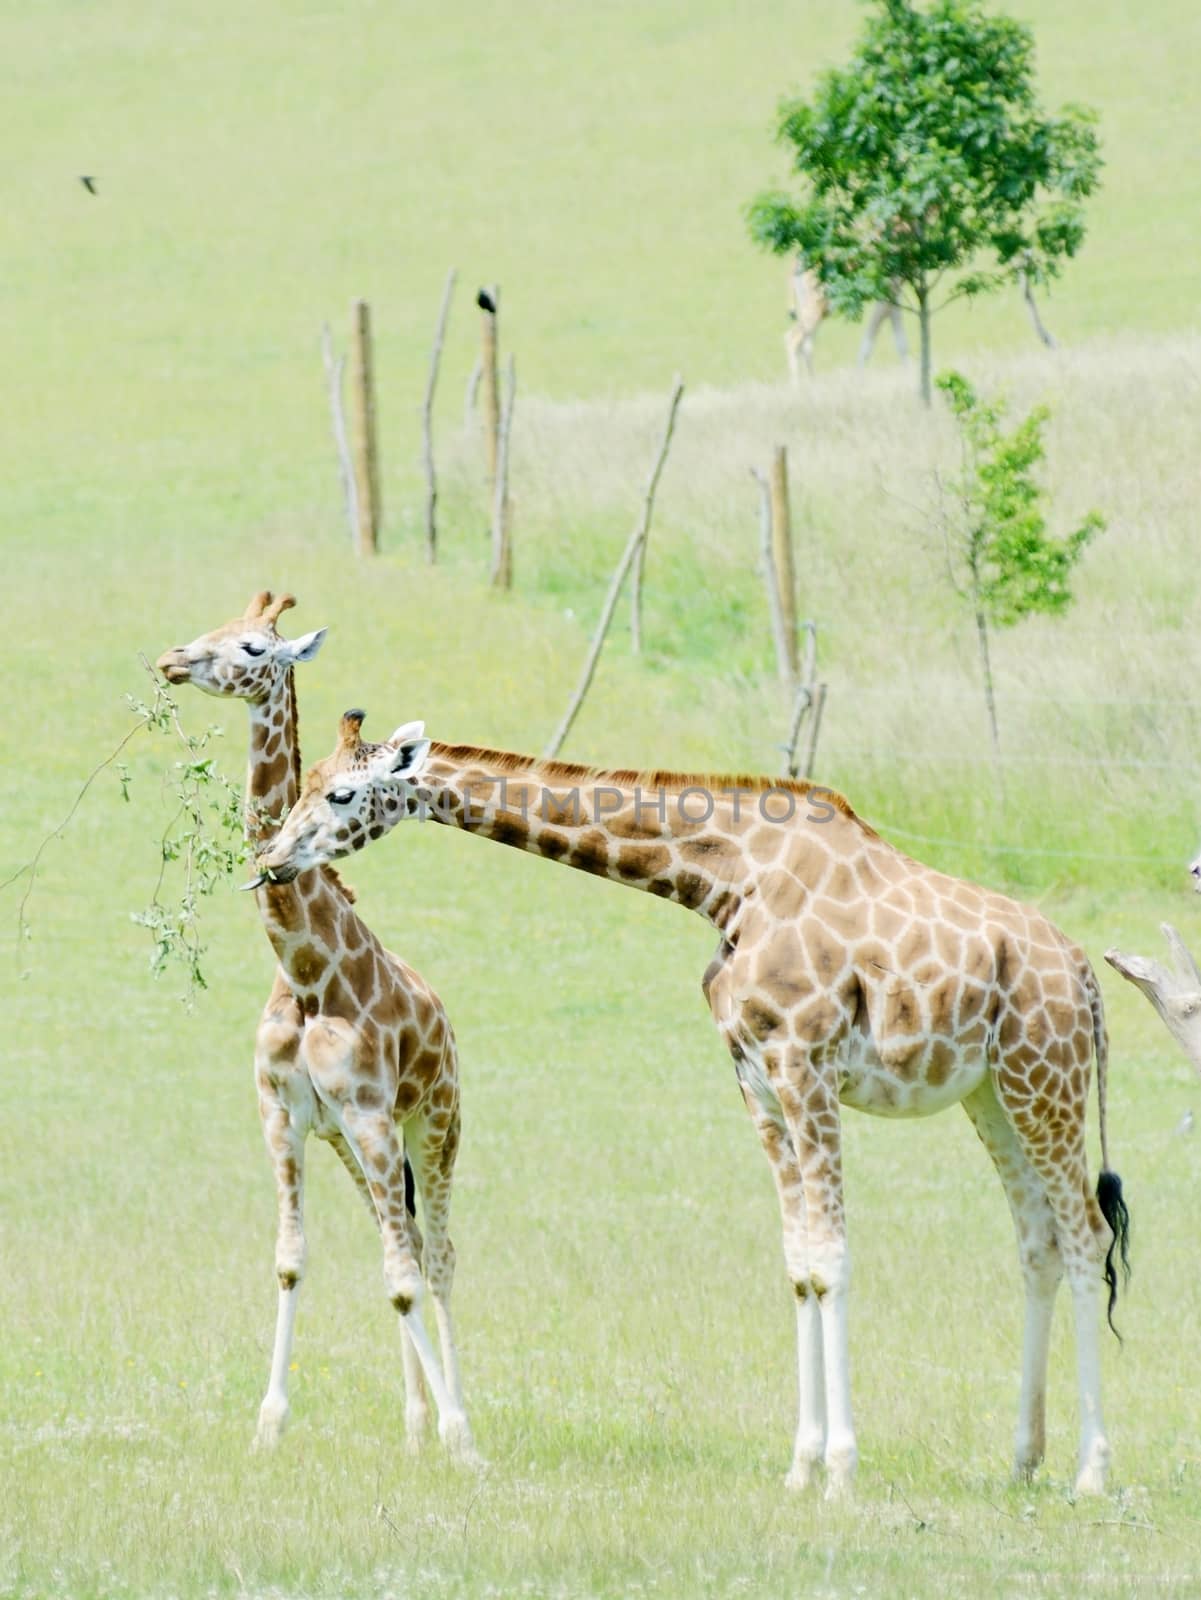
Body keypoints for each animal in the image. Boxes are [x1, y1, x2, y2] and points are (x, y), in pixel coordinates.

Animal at [157, 601, 476, 1465]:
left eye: (251, 645)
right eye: (211, 621)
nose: (170, 659)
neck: (303, 976)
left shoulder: (371, 1113)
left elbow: (403, 1280)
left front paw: (459, 1438)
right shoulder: (286, 1113)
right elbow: (292, 1264)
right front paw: (268, 1424)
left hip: (433, 1124)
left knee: (435, 1258)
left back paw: (458, 1426)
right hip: (354, 1145)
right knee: (399, 1241)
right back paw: (415, 1426)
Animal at [254, 726, 1125, 1497]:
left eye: (341, 793)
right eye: (303, 785)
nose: (270, 858)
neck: (726, 878)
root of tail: (1085, 978)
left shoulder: (805, 1064)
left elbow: (833, 1258)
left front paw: (841, 1472)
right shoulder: (755, 1078)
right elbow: (801, 1263)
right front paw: (802, 1467)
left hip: (1044, 1078)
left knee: (1086, 1235)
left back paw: (1090, 1473)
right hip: (990, 1093)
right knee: (1038, 1243)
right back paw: (1022, 1462)